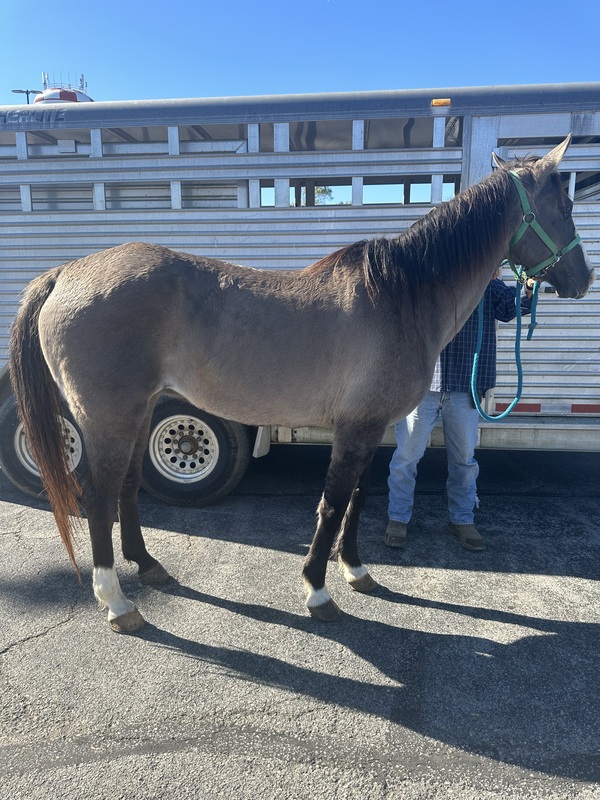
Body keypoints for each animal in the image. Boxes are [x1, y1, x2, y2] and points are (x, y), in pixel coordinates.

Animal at [9, 138, 596, 632]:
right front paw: (318, 590)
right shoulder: (356, 428)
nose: (582, 279)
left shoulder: (368, 427)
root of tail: (67, 272)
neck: (399, 295)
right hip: (109, 417)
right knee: (98, 496)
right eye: (565, 206)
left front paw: (356, 572)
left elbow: (358, 498)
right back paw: (117, 601)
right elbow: (333, 503)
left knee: (127, 488)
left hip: (139, 411)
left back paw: (148, 566)